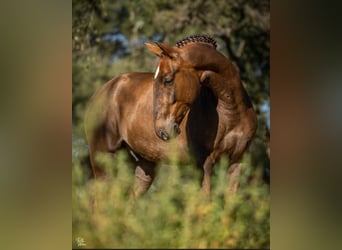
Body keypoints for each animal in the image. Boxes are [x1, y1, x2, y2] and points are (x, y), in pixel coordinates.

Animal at [85, 36, 256, 198]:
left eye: (167, 80)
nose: (162, 130)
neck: (231, 111)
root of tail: (100, 93)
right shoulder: (205, 165)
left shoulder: (237, 163)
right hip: (104, 162)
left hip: (144, 169)